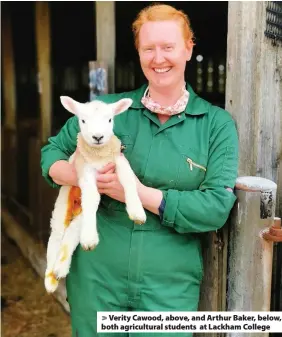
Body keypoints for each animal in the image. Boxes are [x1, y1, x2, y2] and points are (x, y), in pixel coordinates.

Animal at [44, 94, 147, 292]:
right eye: (83, 120)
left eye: (110, 119)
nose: (98, 137)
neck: (99, 155)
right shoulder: (85, 171)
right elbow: (92, 197)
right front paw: (90, 239)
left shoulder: (119, 161)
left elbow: (129, 180)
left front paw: (137, 212)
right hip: (61, 205)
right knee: (56, 237)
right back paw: (50, 281)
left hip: (81, 218)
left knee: (70, 236)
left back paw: (60, 270)